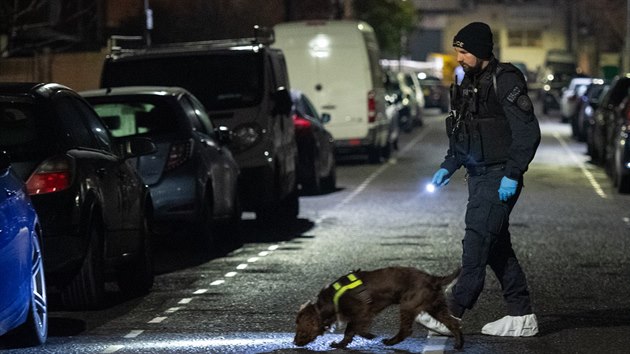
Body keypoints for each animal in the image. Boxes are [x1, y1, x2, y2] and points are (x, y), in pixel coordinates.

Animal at [292, 266, 464, 348]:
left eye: (300, 329)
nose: (294, 342)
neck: (330, 302)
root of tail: (433, 278)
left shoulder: (362, 312)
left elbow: (352, 329)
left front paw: (369, 336)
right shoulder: (361, 314)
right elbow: (351, 331)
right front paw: (341, 344)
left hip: (408, 305)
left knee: (406, 330)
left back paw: (390, 342)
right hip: (434, 306)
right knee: (453, 322)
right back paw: (458, 345)